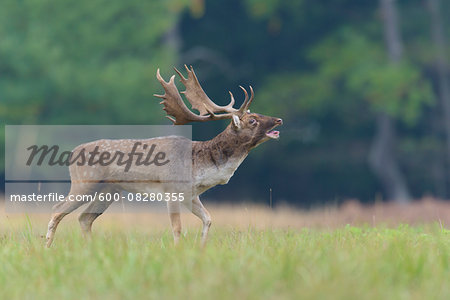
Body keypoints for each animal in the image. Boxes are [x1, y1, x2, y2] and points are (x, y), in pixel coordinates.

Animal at [45, 65, 282, 246]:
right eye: (252, 120)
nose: (278, 119)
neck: (201, 167)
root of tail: (72, 153)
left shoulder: (191, 195)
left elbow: (208, 219)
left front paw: (202, 248)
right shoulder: (172, 189)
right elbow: (177, 228)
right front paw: (177, 251)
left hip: (109, 190)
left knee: (84, 218)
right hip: (85, 181)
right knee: (57, 209)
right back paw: (47, 247)